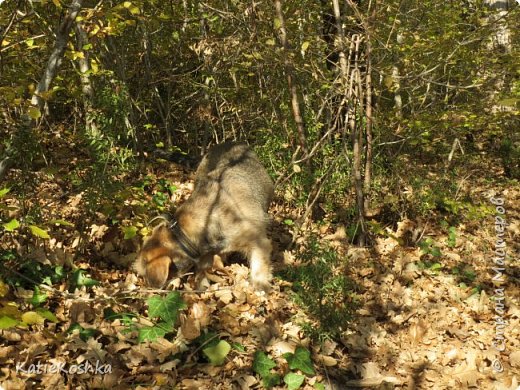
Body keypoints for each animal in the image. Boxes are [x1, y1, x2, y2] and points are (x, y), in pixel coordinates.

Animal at [136, 142, 276, 290]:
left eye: (144, 275)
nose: (146, 288)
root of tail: (231, 143)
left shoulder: (259, 244)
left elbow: (259, 270)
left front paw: (261, 288)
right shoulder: (207, 256)